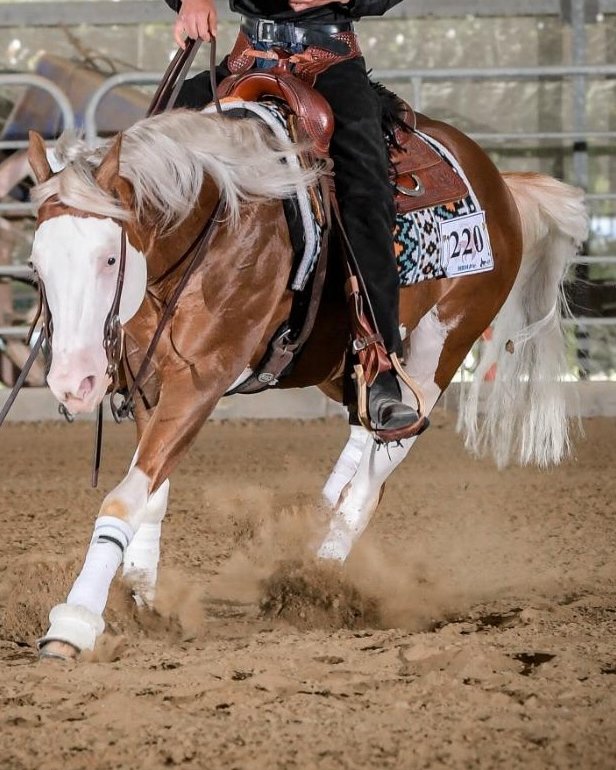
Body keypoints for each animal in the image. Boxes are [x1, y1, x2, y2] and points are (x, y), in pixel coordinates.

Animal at [26, 100, 588, 660]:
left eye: (110, 258)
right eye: (36, 265)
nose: (73, 380)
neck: (217, 226)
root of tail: (498, 182)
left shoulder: (200, 381)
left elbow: (124, 496)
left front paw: (74, 623)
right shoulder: (150, 386)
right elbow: (150, 492)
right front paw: (142, 602)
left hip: (440, 351)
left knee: (376, 473)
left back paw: (319, 580)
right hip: (349, 365)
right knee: (366, 430)